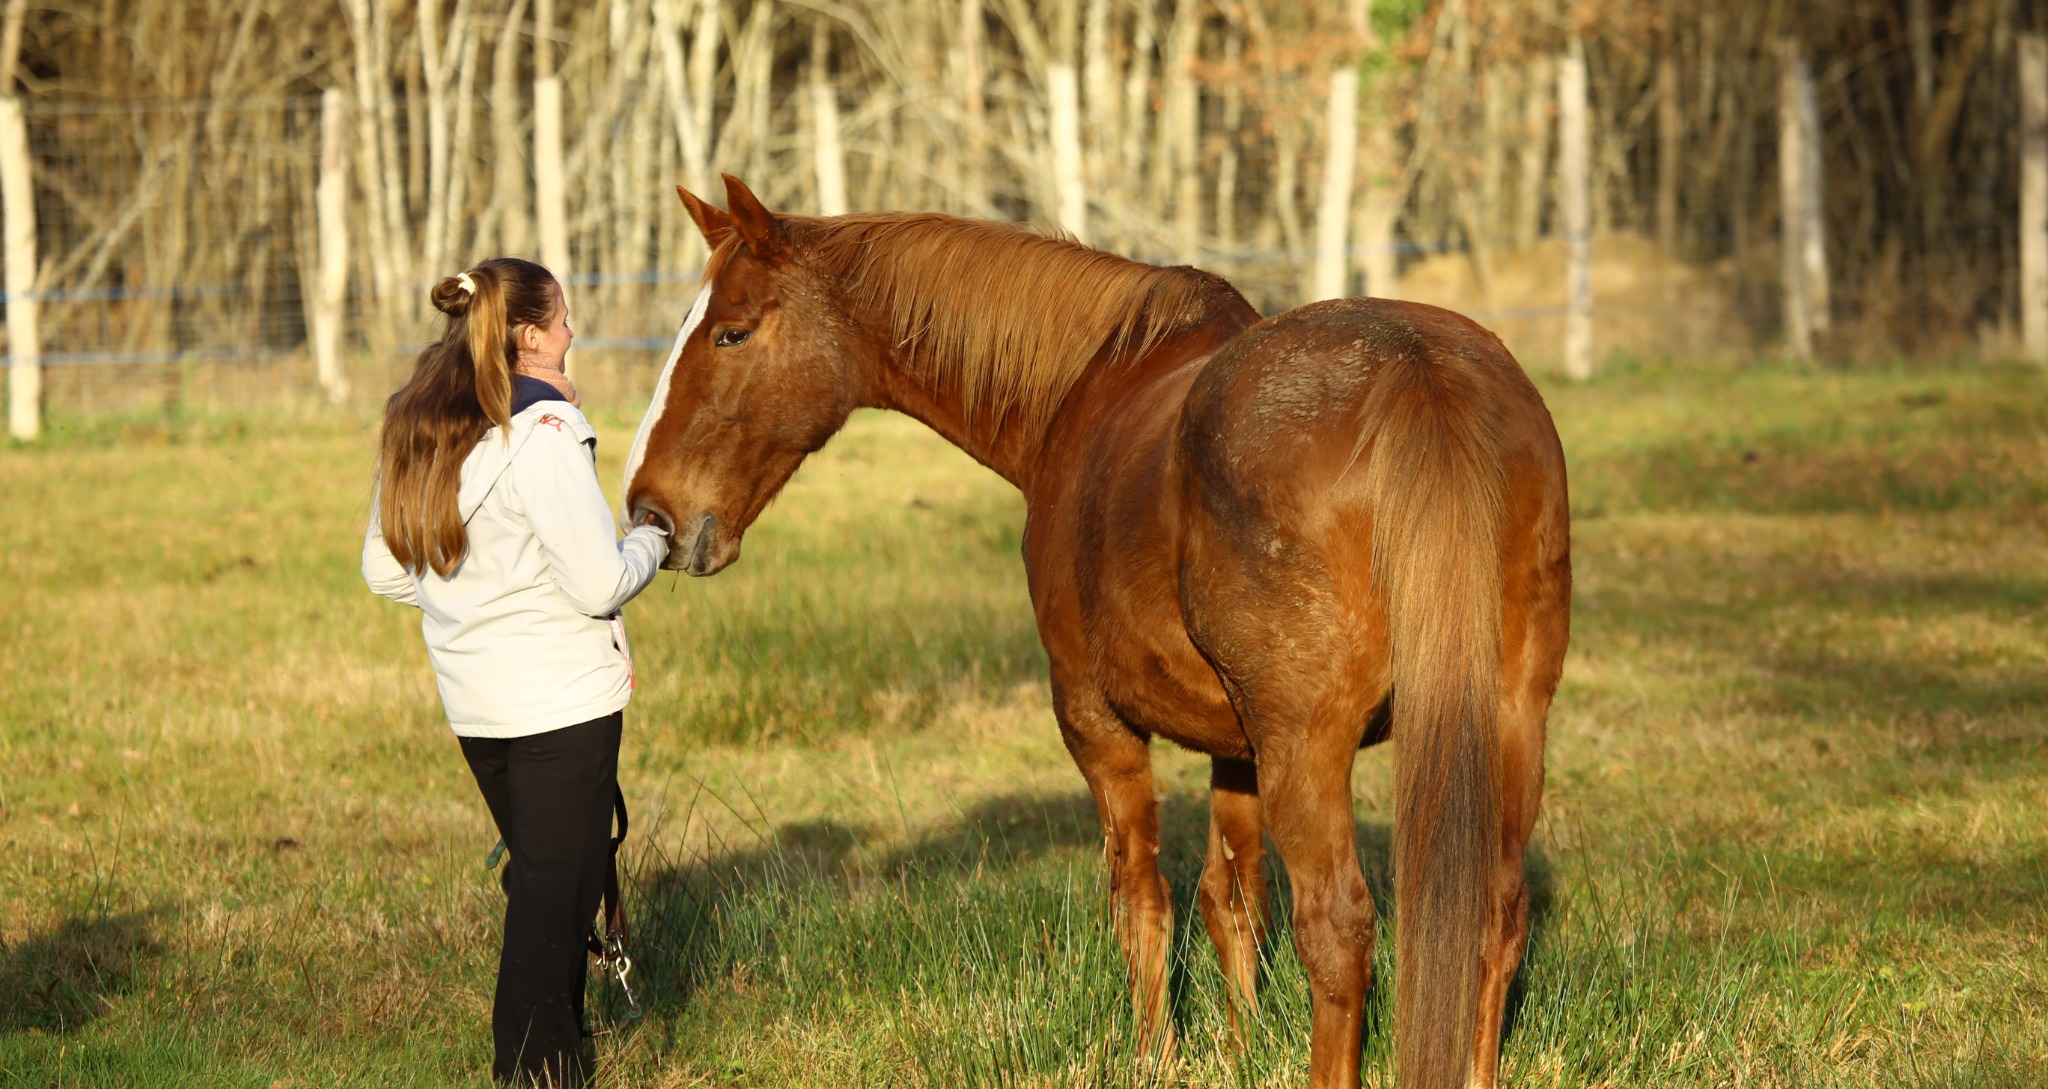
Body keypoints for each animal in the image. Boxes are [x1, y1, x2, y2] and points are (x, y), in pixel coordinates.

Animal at [622, 176, 1571, 1089]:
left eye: (732, 333)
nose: (650, 509)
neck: (1084, 383)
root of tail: (1421, 373)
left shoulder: (1096, 720)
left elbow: (1142, 900)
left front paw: (1156, 1058)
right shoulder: (1237, 746)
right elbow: (1231, 897)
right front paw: (1240, 1049)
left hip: (1312, 747)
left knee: (1336, 927)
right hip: (1508, 722)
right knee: (1497, 912)